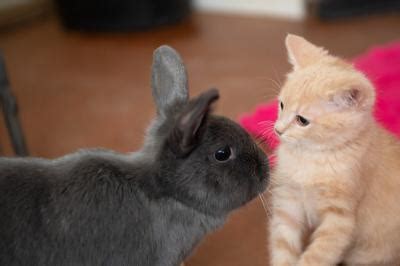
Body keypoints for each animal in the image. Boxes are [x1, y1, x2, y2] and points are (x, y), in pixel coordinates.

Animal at [270, 34, 400, 264]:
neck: (310, 157)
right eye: (281, 105)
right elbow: (283, 246)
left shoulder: (339, 221)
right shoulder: (289, 203)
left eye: (302, 120)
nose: (278, 130)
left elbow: (316, 257)